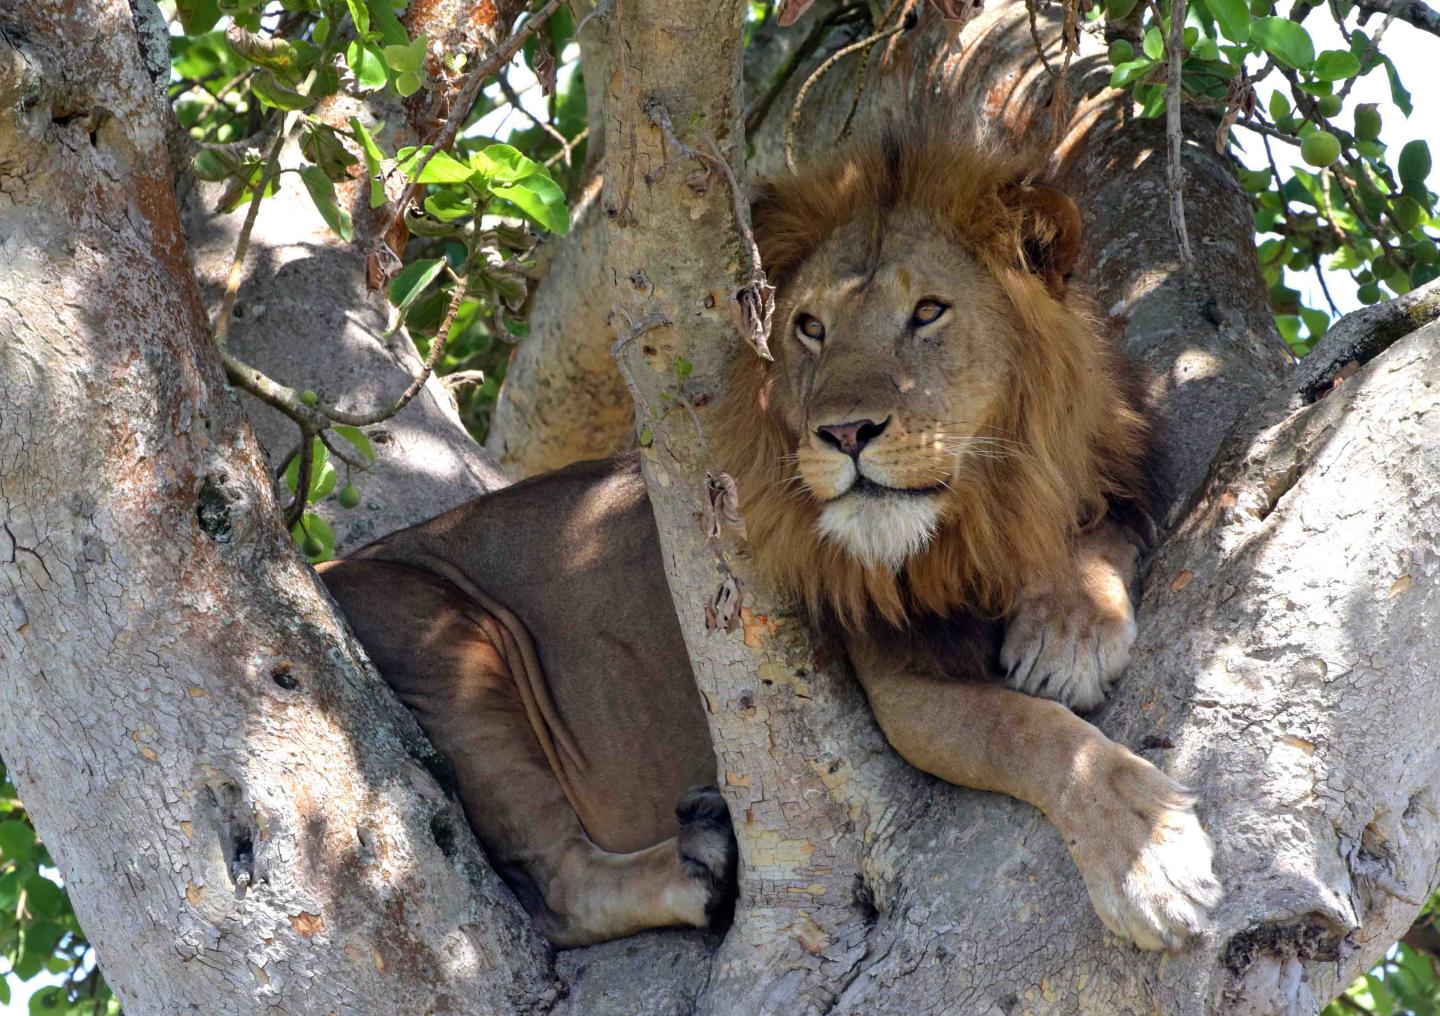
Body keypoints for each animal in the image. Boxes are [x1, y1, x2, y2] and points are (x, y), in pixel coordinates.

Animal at [321, 128, 1221, 949]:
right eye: (811, 328)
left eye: (928, 312)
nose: (846, 432)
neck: (975, 516)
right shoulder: (896, 684)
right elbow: (1031, 732)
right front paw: (1147, 858)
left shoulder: (1115, 477)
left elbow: (1100, 534)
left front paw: (1068, 629)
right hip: (442, 635)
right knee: (559, 890)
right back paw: (703, 867)